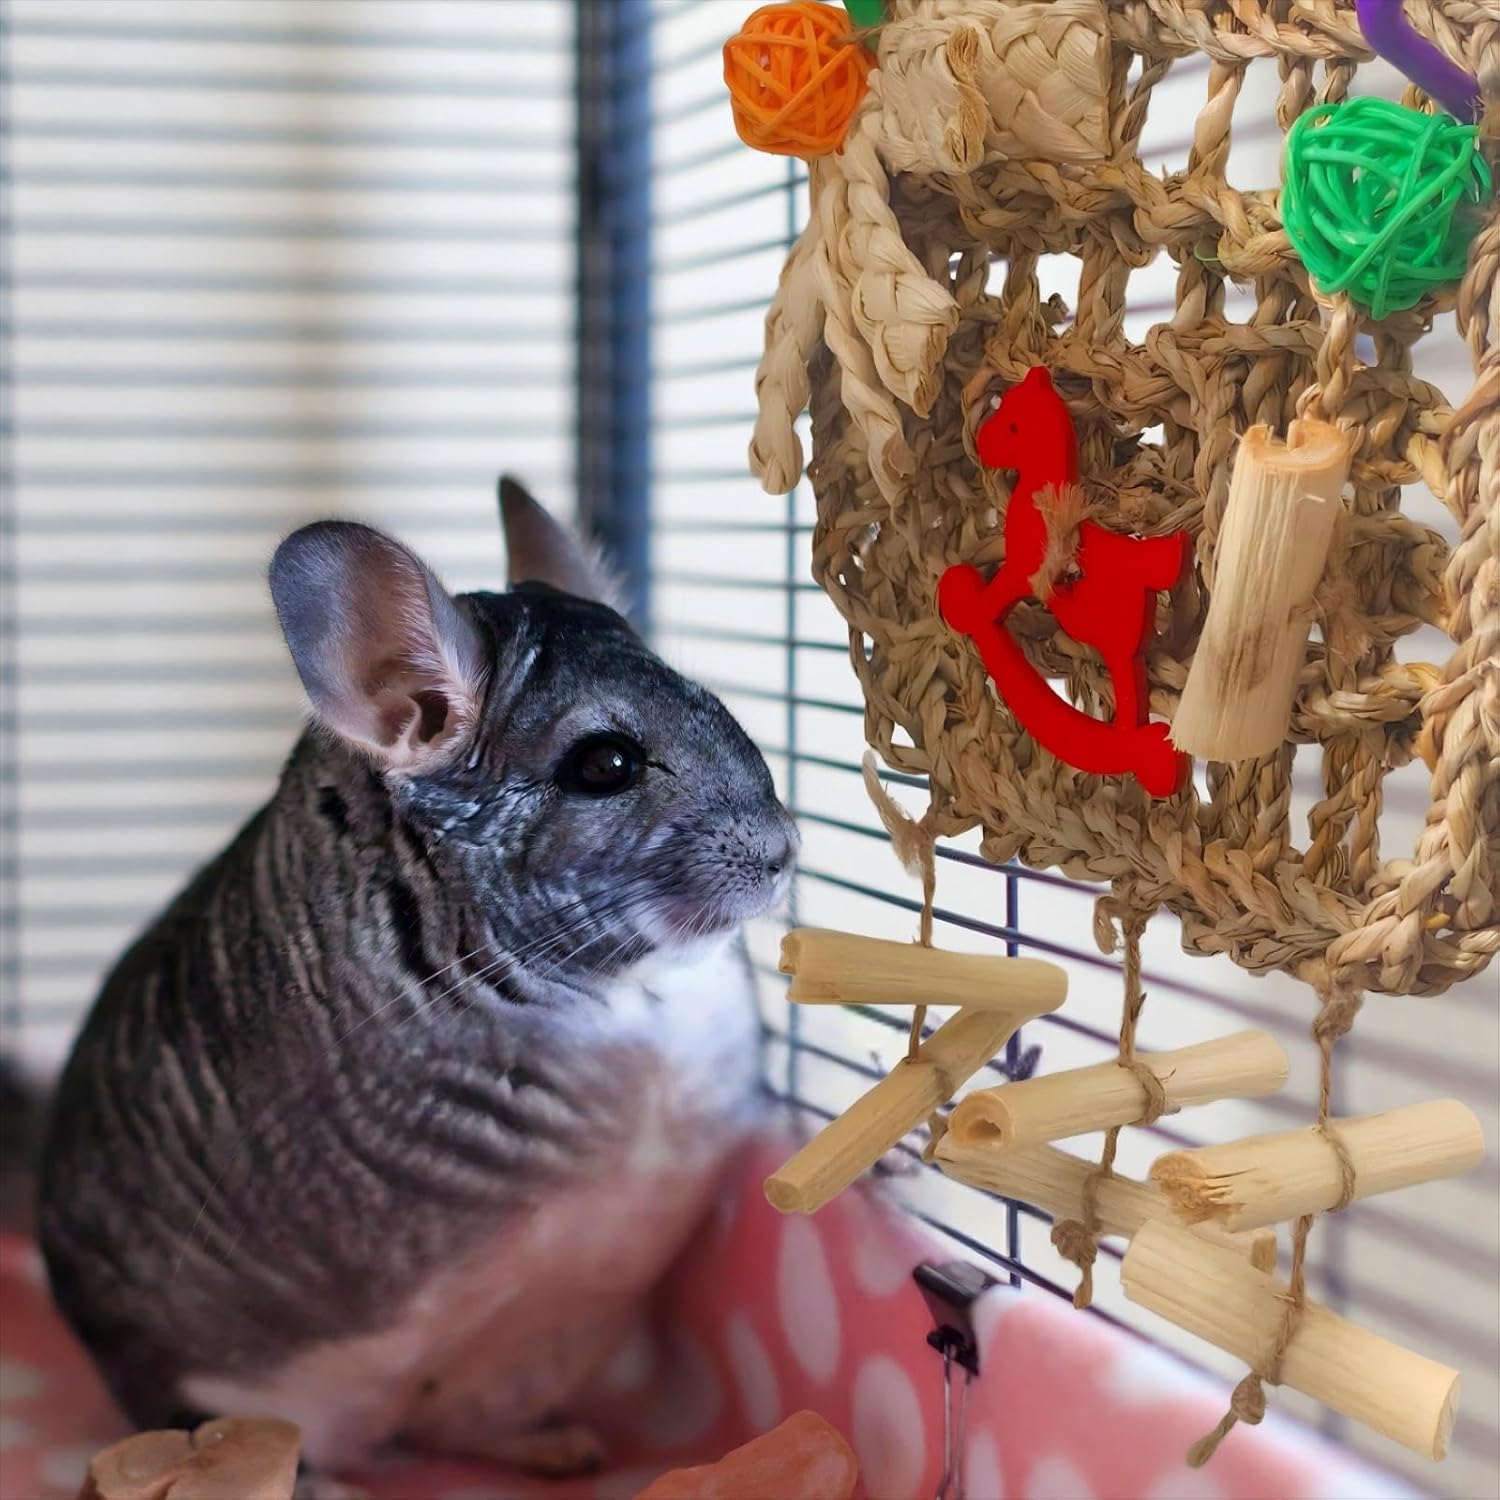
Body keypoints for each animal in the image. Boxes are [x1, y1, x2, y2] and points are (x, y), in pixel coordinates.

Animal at [37, 479, 799, 1477]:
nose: (786, 852)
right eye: (607, 764)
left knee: (448, 1422)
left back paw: (565, 1452)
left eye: (713, 699)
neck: (623, 992)